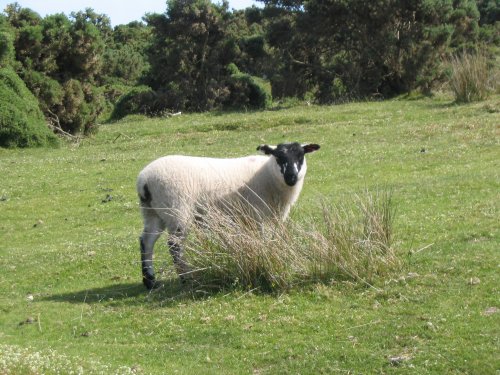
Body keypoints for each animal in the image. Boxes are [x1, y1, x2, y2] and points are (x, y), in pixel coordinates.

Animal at [136, 142, 320, 290]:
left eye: (301, 156)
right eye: (279, 157)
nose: (291, 177)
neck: (269, 176)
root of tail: (144, 181)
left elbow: (273, 239)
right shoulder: (256, 213)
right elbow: (262, 240)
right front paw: (265, 262)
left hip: (153, 212)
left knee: (147, 241)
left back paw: (150, 281)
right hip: (177, 210)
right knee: (174, 245)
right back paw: (187, 279)